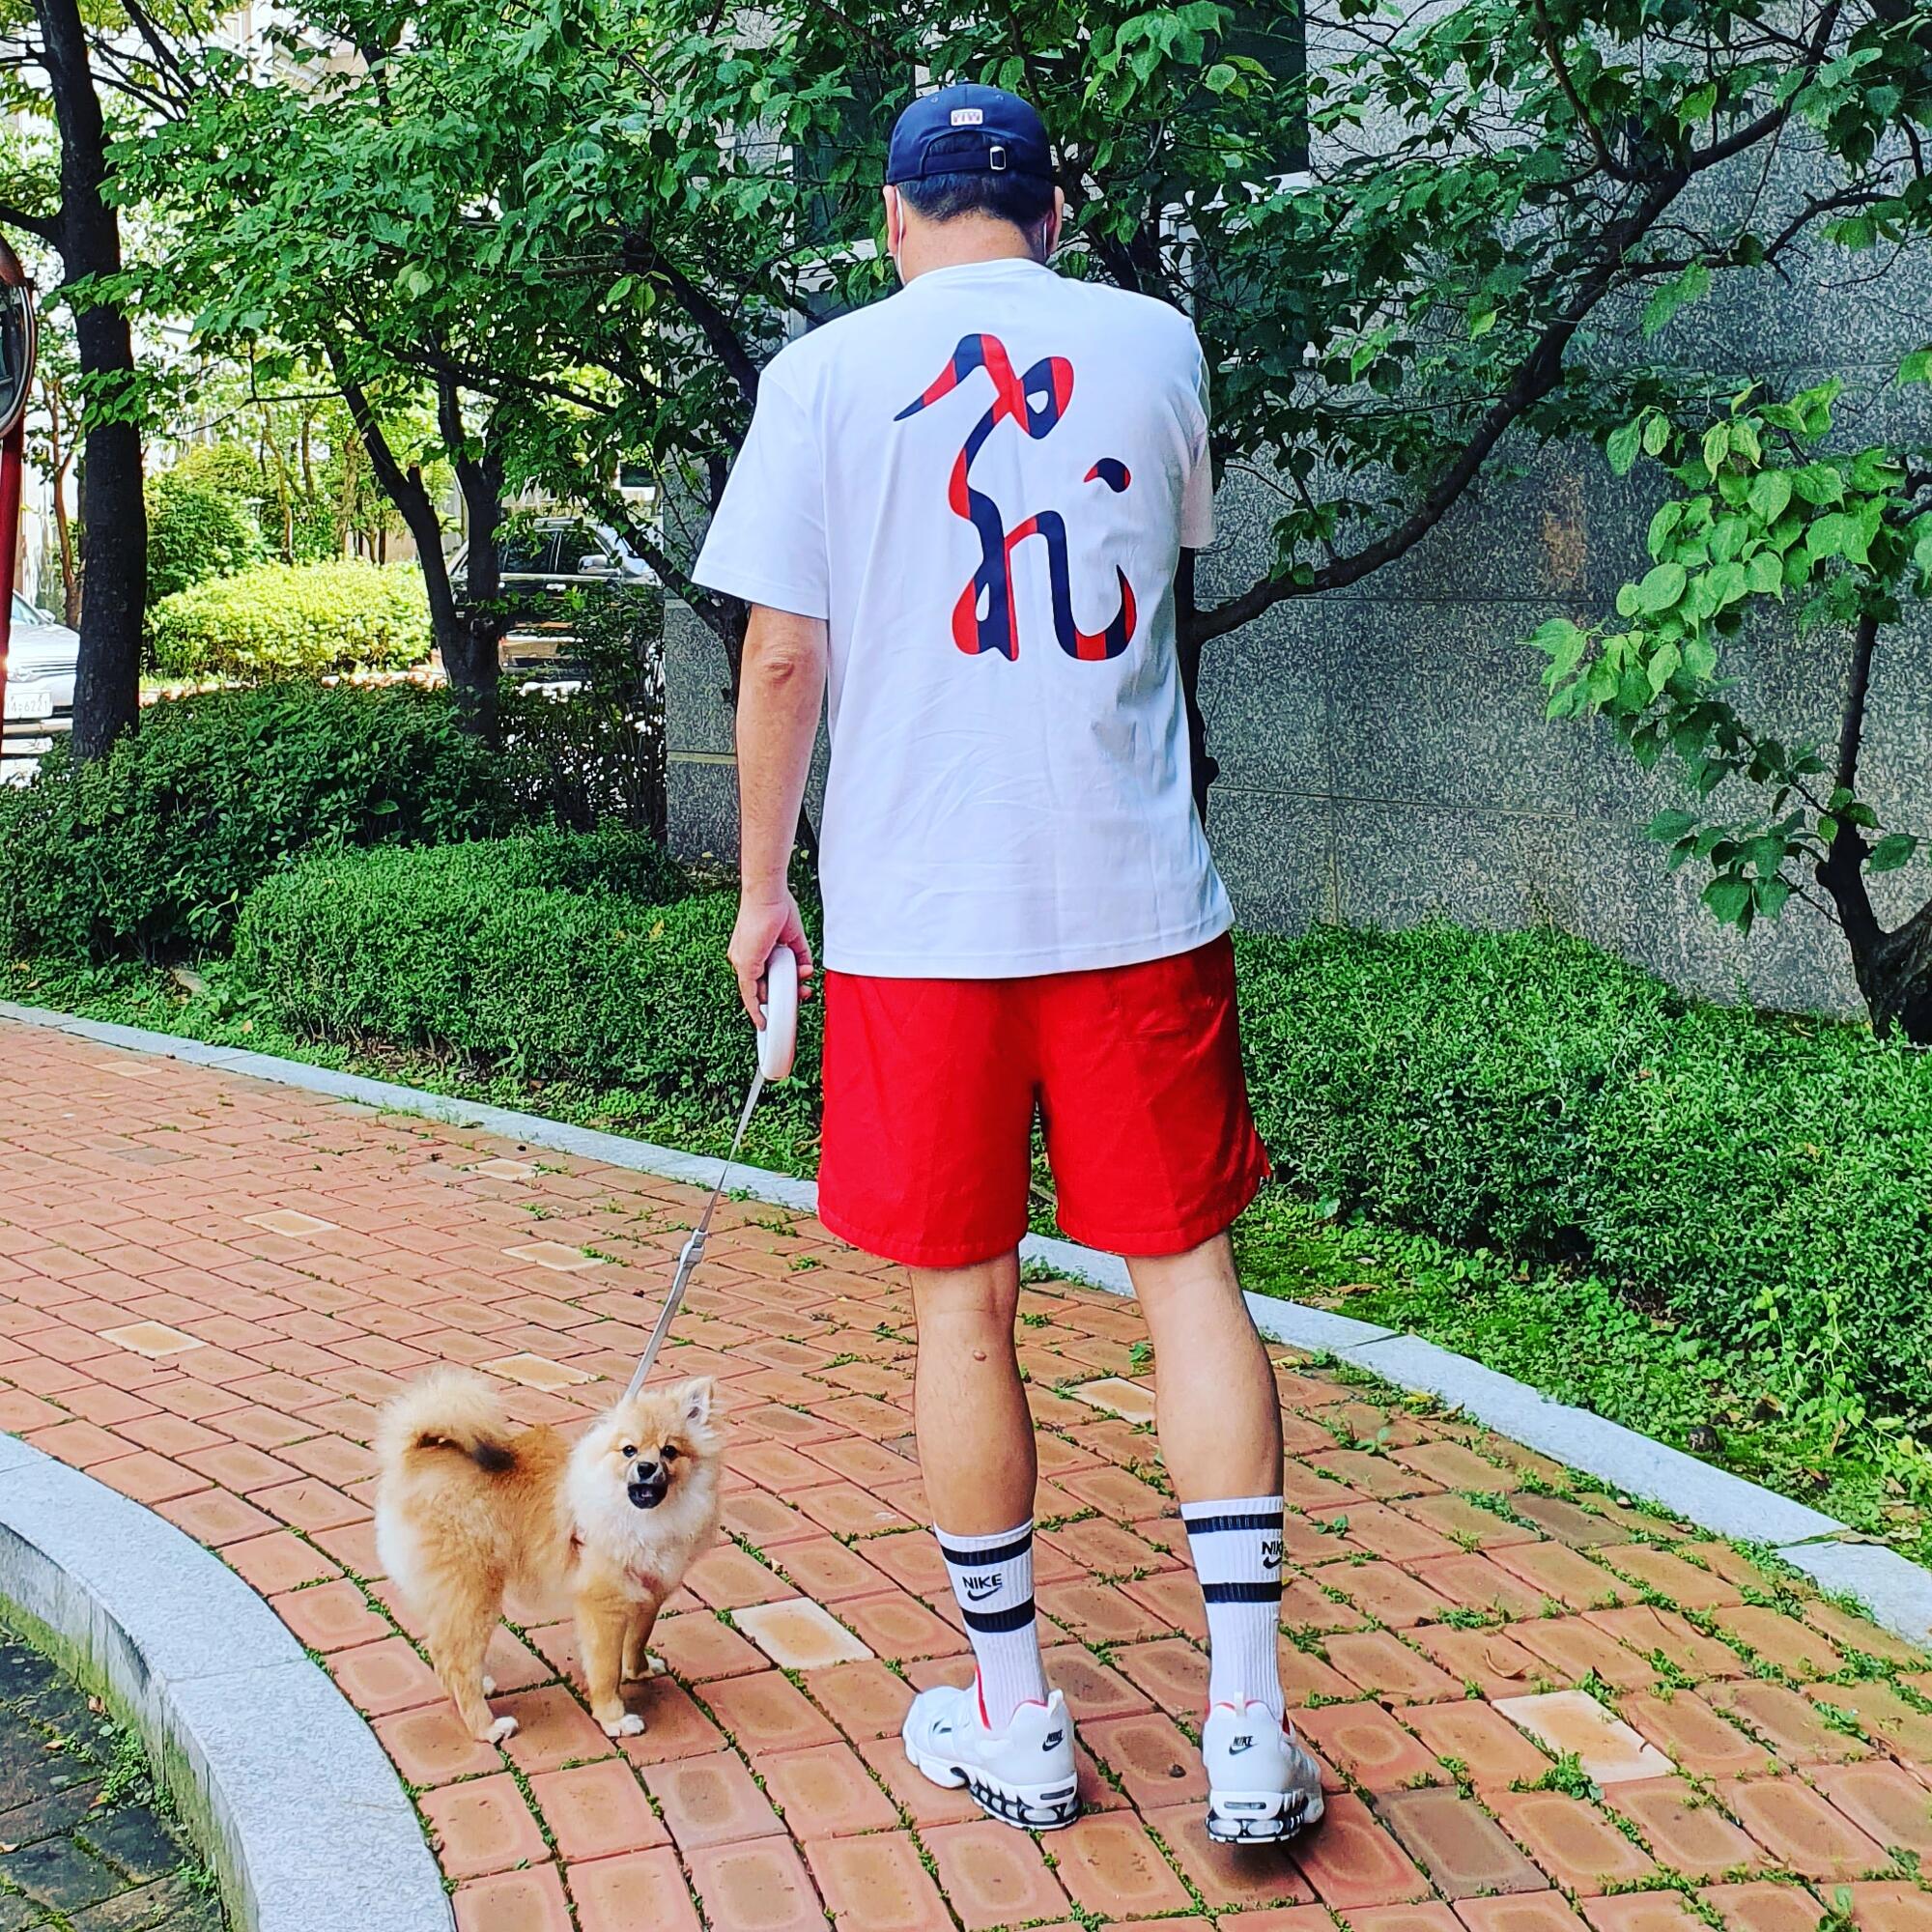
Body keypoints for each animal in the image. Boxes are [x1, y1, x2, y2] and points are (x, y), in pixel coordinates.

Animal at [374, 1367, 722, 1742]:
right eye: (629, 1450)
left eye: (669, 1451)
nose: (645, 1467)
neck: (644, 1519)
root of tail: (417, 1455)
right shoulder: (604, 1606)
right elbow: (606, 1670)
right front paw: (614, 1718)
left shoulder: (649, 1594)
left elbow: (637, 1640)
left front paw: (639, 1671)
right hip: (475, 1593)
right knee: (458, 1660)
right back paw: (486, 1726)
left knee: (442, 1650)